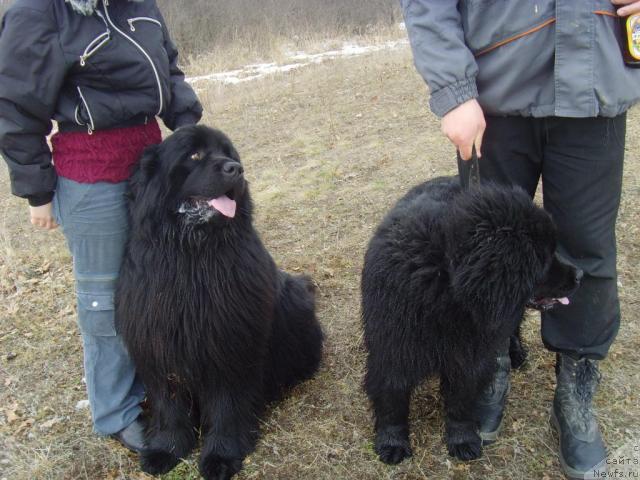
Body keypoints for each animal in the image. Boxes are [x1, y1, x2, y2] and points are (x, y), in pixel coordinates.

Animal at [115, 124, 322, 480]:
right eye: (194, 154)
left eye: (228, 153)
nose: (235, 169)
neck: (191, 256)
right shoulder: (158, 346)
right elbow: (169, 405)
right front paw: (165, 449)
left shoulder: (229, 345)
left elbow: (228, 405)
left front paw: (221, 456)